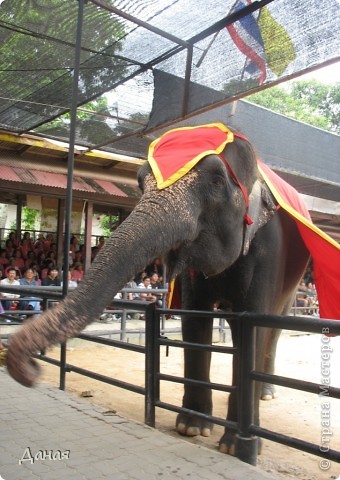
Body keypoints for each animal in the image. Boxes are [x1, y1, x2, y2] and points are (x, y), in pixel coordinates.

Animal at [5, 123, 310, 454]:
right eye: (140, 183)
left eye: (217, 182)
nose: (35, 371)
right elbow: (194, 321)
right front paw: (191, 429)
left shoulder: (269, 250)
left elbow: (252, 325)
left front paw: (234, 447)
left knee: (272, 327)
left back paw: (266, 395)